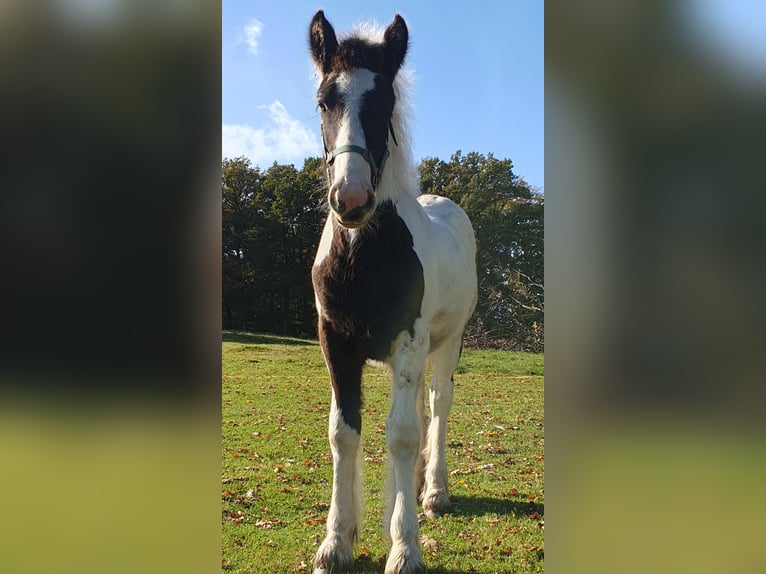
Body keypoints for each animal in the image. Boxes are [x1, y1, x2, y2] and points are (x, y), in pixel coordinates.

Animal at [308, 10, 476, 574]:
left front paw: (404, 547)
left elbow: (401, 434)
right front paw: (337, 541)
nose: (351, 198)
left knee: (438, 404)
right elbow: (343, 431)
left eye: (386, 103)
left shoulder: (410, 336)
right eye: (325, 100)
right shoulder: (335, 341)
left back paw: (435, 492)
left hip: (446, 343)